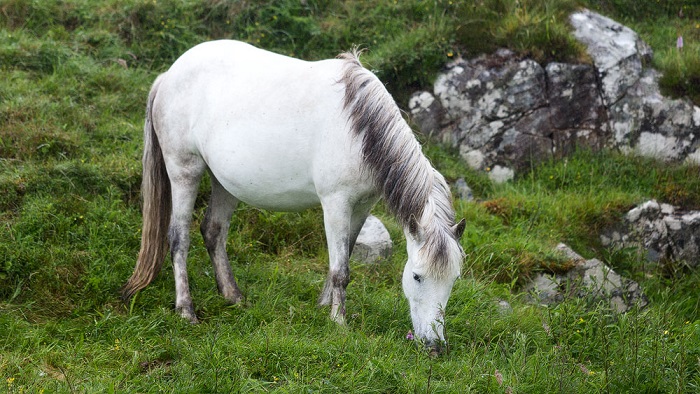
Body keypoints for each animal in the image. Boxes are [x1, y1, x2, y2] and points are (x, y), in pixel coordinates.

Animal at [121, 39, 464, 348]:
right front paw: (338, 322)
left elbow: (345, 255)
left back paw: (233, 297)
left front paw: (325, 307)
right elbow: (341, 269)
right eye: (417, 276)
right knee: (179, 237)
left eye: (453, 279)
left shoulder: (362, 206)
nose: (434, 345)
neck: (360, 129)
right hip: (184, 171)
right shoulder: (336, 203)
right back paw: (186, 310)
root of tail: (169, 75)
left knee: (213, 230)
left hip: (224, 182)